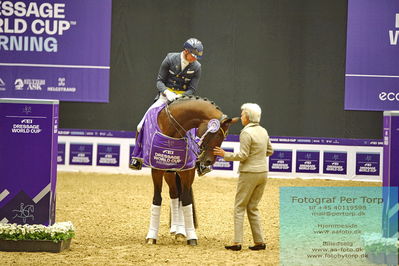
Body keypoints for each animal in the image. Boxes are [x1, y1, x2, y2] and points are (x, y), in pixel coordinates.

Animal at [136, 95, 239, 245]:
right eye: (218, 135)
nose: (208, 161)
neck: (173, 131)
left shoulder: (187, 171)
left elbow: (186, 200)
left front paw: (191, 236)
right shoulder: (156, 170)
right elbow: (157, 199)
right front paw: (151, 237)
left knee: (179, 197)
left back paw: (180, 231)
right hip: (169, 173)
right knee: (174, 195)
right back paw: (175, 229)